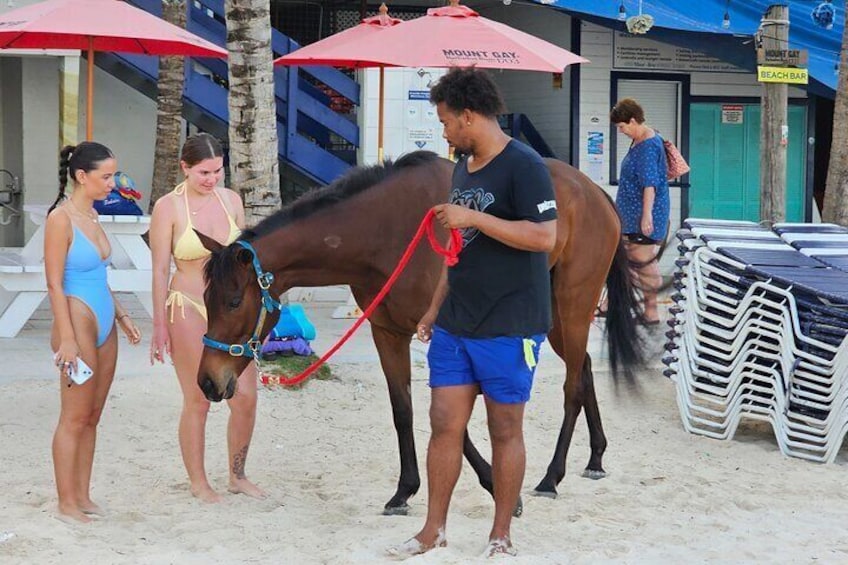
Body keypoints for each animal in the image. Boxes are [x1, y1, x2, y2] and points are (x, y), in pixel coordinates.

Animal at [194, 150, 644, 516]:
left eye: (233, 301)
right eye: (206, 298)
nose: (208, 381)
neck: (387, 232)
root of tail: (595, 191)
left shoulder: (442, 336)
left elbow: (451, 419)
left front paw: (498, 486)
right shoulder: (387, 332)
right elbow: (403, 410)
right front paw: (404, 491)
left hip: (574, 304)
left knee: (572, 386)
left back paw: (551, 477)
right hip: (554, 317)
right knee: (583, 367)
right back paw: (595, 458)